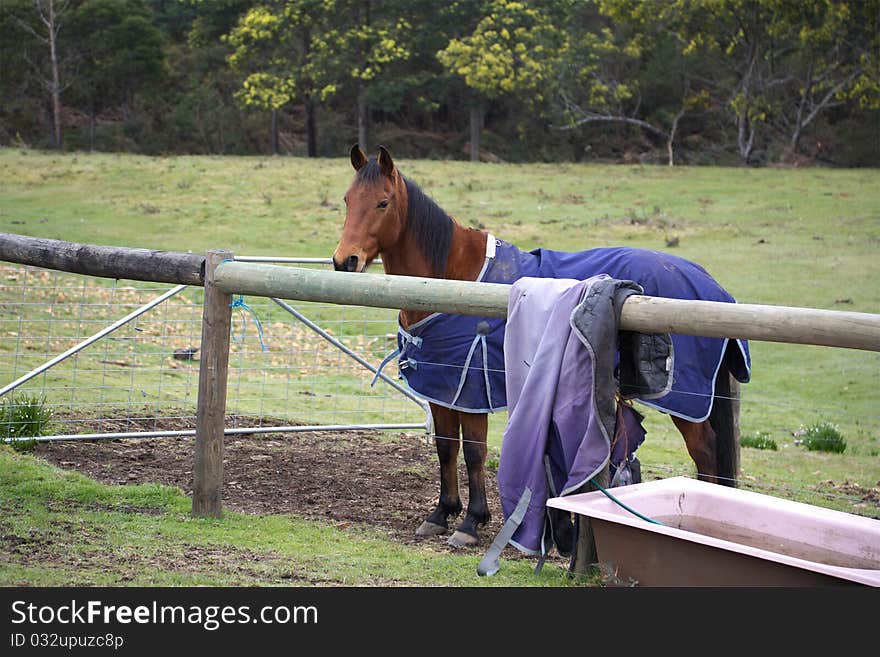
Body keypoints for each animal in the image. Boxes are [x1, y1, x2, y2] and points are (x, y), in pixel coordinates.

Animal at [332, 144, 748, 548]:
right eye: (348, 199)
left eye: (383, 202)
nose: (344, 261)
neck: (450, 282)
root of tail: (712, 287)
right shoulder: (443, 388)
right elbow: (446, 448)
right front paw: (441, 513)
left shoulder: (472, 390)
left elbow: (474, 452)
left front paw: (471, 522)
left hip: (685, 401)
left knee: (705, 452)